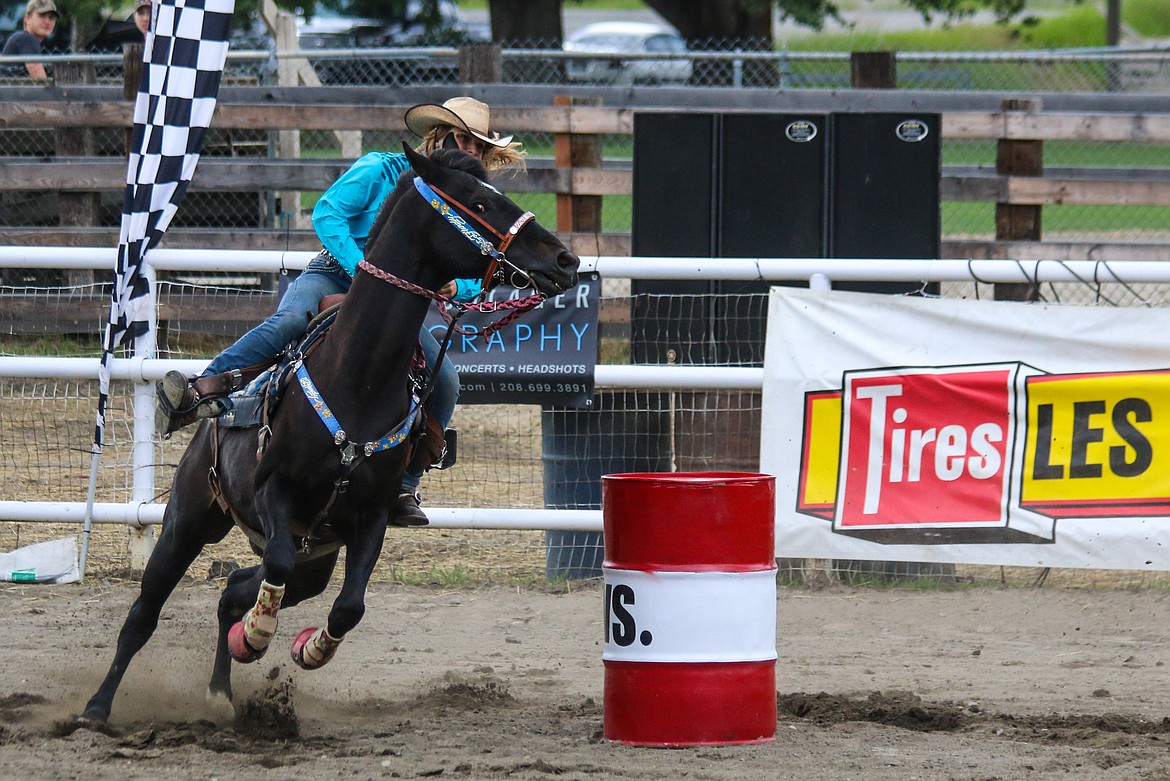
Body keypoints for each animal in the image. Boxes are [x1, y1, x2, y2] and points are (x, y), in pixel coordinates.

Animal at [82, 144, 580, 720]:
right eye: (478, 202)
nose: (565, 260)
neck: (357, 377)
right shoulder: (274, 492)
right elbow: (275, 569)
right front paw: (259, 636)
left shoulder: (371, 518)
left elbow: (349, 607)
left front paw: (306, 648)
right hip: (189, 521)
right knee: (146, 611)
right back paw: (98, 707)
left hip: (315, 556)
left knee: (234, 588)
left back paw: (221, 692)